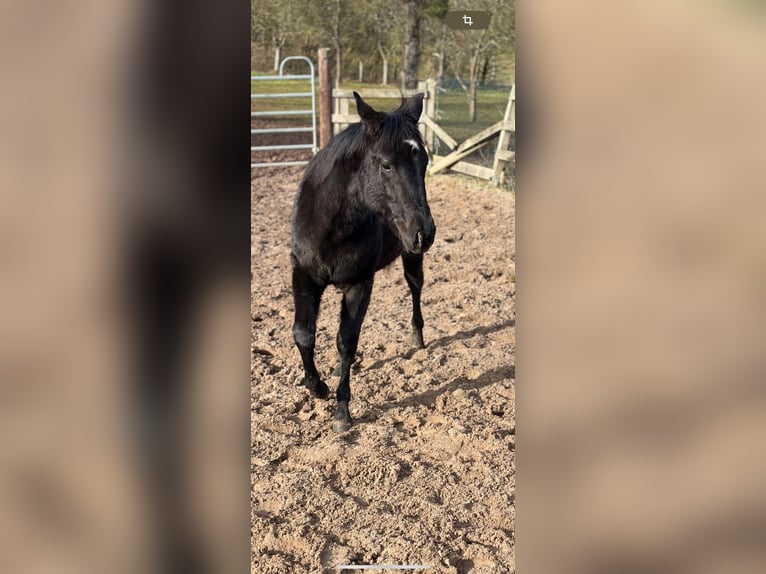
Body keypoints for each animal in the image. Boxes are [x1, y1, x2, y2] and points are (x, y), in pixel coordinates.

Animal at [292, 91, 438, 432]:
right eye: (386, 165)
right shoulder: (303, 274)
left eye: (424, 161)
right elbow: (303, 333)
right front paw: (317, 387)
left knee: (415, 288)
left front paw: (342, 412)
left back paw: (417, 337)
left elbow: (346, 341)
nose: (425, 233)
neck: (329, 227)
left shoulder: (359, 284)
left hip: (410, 258)